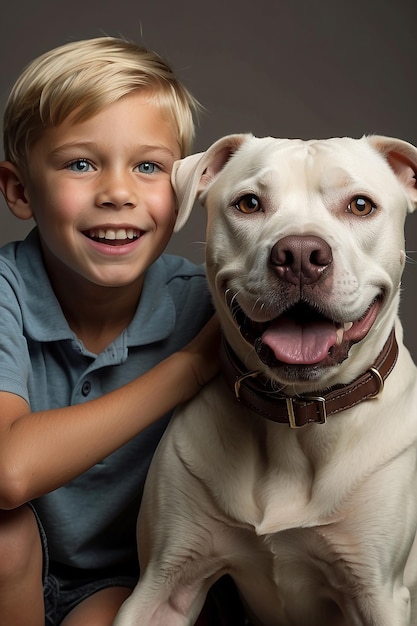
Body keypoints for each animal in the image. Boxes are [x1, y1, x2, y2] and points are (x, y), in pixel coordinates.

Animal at [114, 134, 417, 620]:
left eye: (360, 205)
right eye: (249, 203)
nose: (301, 255)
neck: (295, 413)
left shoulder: (378, 593)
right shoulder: (162, 581)